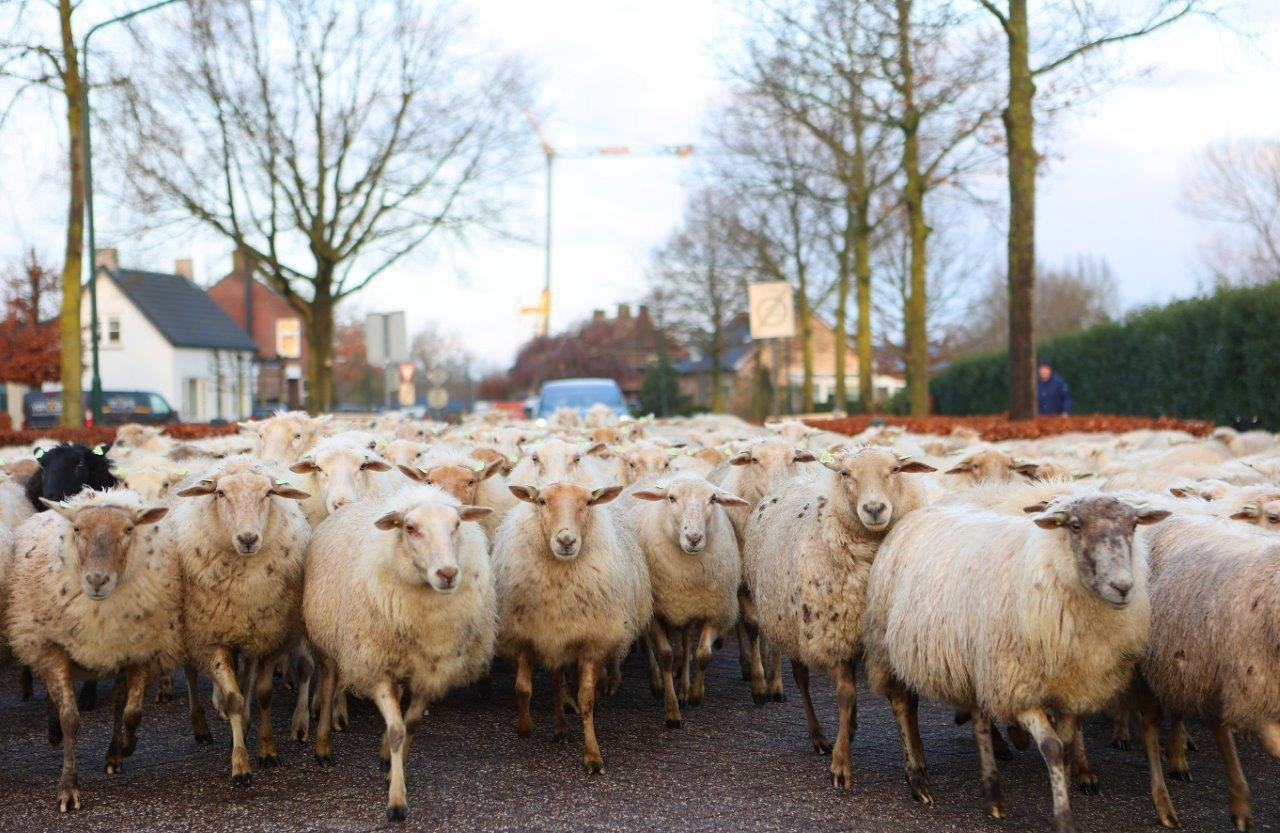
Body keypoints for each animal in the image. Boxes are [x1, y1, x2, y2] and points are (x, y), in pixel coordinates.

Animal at [5, 491, 175, 813]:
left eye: (129, 530)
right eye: (77, 530)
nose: (97, 580)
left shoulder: (141, 649)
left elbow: (132, 712)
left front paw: (126, 746)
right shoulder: (54, 649)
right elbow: (70, 718)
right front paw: (68, 788)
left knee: (119, 703)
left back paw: (114, 754)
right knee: (56, 699)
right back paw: (54, 732)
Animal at [303, 481, 494, 818]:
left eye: (457, 524)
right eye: (410, 528)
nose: (447, 574)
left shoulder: (430, 669)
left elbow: (411, 724)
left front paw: (395, 768)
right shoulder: (375, 664)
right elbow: (396, 730)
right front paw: (396, 800)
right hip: (334, 643)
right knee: (328, 688)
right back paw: (323, 746)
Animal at [488, 481, 650, 777]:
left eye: (588, 502)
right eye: (541, 501)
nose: (566, 541)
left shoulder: (591, 643)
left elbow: (585, 699)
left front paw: (593, 756)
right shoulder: (528, 636)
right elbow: (523, 688)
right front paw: (525, 727)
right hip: (555, 638)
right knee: (556, 680)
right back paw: (560, 727)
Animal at [742, 442, 931, 788]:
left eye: (896, 469)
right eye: (845, 473)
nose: (874, 508)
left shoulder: (882, 642)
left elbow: (905, 701)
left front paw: (917, 762)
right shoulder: (830, 633)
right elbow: (845, 695)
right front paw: (841, 764)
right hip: (795, 627)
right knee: (802, 679)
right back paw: (818, 737)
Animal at [860, 496, 1172, 833]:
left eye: (1134, 525)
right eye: (1075, 526)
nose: (1123, 586)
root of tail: (918, 512)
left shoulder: (1069, 690)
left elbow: (1064, 747)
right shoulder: (1018, 687)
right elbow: (1052, 747)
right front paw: (1063, 818)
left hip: (977, 661)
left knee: (978, 718)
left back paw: (992, 794)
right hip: (887, 647)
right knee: (903, 705)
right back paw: (918, 779)